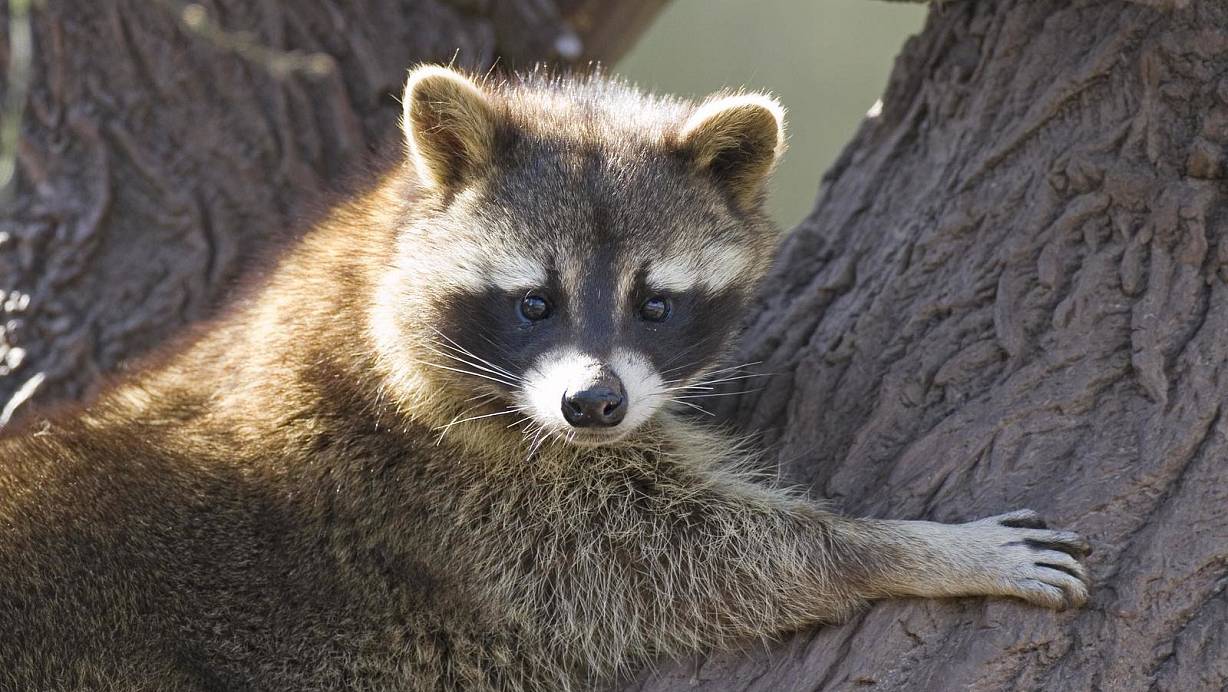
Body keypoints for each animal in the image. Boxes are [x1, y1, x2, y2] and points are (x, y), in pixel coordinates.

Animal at [0, 66, 1095, 692]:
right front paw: (903, 549)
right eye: (533, 302)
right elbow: (681, 564)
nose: (595, 404)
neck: (370, 270)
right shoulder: (438, 487)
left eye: (655, 303)